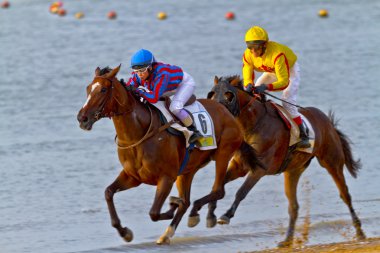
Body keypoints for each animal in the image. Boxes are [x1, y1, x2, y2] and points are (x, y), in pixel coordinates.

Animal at [75, 66, 262, 244]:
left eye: (103, 90)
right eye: (88, 88)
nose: (82, 118)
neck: (138, 134)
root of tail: (226, 110)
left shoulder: (166, 178)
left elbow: (154, 212)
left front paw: (172, 204)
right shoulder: (133, 177)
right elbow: (108, 192)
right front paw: (125, 232)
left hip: (223, 154)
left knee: (217, 191)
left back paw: (192, 214)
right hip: (187, 170)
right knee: (188, 200)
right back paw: (168, 232)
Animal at [206, 75, 366, 247]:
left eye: (229, 95)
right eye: (212, 94)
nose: (217, 114)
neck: (255, 123)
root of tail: (328, 122)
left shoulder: (259, 169)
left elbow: (241, 192)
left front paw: (226, 215)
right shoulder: (239, 166)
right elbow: (218, 186)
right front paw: (210, 215)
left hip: (331, 162)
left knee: (345, 195)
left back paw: (360, 232)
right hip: (293, 170)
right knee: (293, 206)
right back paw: (287, 240)